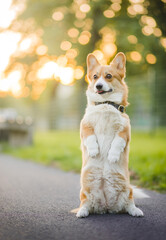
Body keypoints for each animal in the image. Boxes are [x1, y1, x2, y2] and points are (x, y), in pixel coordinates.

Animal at [74, 51, 148, 218]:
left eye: (108, 76)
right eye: (95, 77)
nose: (98, 86)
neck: (105, 104)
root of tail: (107, 207)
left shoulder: (124, 130)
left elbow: (117, 142)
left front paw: (113, 156)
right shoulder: (85, 126)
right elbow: (90, 137)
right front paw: (94, 151)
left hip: (128, 188)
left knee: (129, 203)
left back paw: (136, 211)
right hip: (84, 190)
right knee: (85, 204)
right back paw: (82, 212)